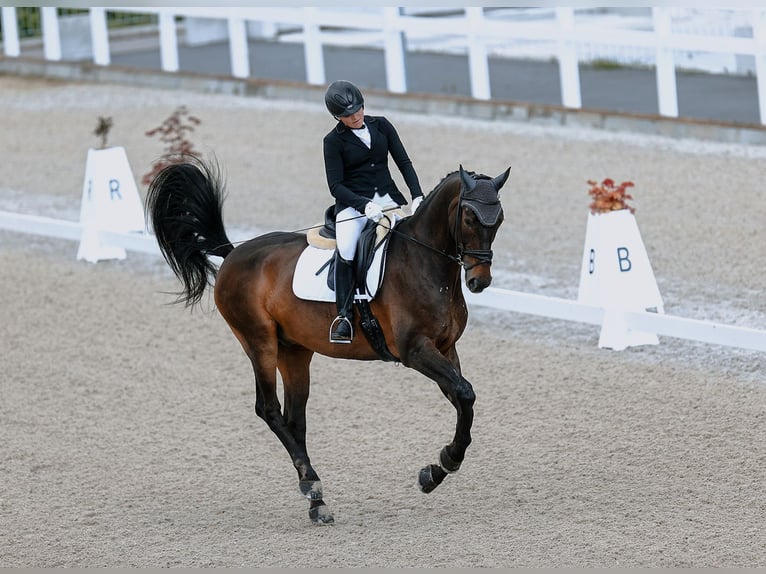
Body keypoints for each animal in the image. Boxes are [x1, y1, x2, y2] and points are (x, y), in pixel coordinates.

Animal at [147, 159, 512, 528]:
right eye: (469, 218)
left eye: (499, 219)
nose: (479, 281)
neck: (425, 263)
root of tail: (234, 253)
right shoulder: (416, 350)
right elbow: (464, 393)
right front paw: (445, 462)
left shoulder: (446, 348)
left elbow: (462, 398)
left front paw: (436, 470)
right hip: (259, 342)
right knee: (269, 409)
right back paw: (312, 485)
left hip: (294, 352)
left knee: (295, 420)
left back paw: (316, 502)